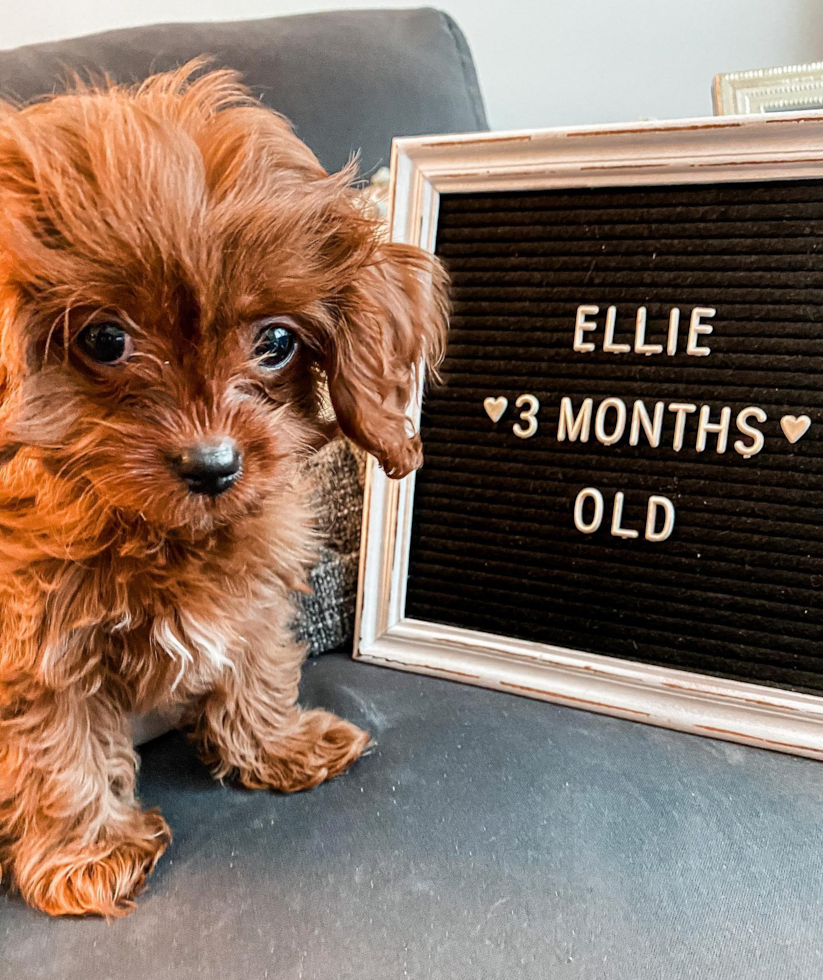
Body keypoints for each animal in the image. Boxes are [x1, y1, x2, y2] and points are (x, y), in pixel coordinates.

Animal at [0, 65, 448, 916]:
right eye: (105, 338)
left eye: (274, 341)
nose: (214, 466)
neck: (157, 530)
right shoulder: (30, 641)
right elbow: (56, 740)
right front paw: (88, 854)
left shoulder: (249, 588)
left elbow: (252, 660)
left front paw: (278, 744)